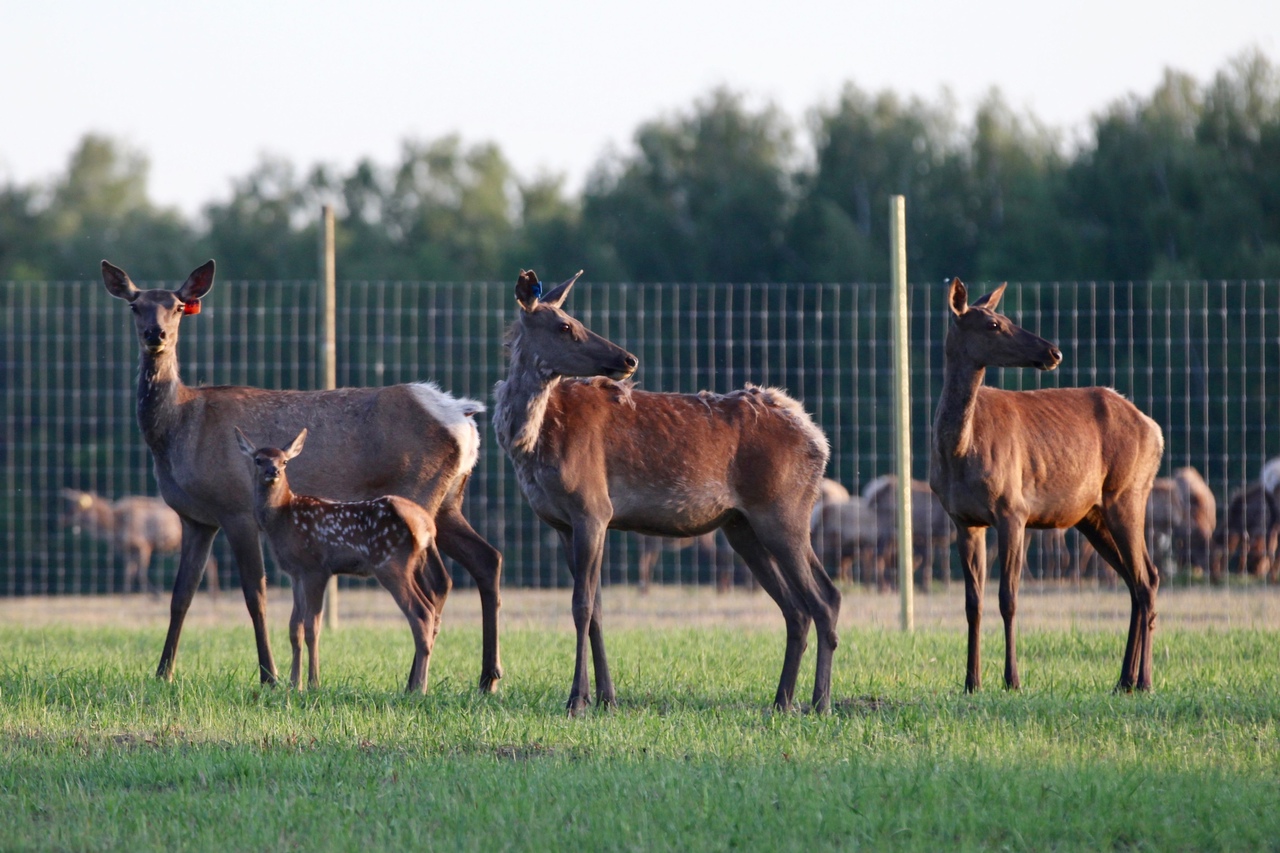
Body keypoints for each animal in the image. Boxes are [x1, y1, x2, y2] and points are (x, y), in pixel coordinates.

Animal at [61, 489, 220, 594]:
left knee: (211, 562)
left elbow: (140, 572)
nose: (62, 519)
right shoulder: (128, 550)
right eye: (69, 505)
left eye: (76, 507)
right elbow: (128, 573)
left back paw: (213, 595)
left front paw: (156, 595)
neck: (115, 527)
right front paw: (126, 595)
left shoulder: (144, 545)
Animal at [238, 425, 453, 691]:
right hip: (413, 563)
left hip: (391, 563)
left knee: (421, 613)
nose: (273, 471)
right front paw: (294, 684)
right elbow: (294, 628)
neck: (283, 519)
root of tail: (426, 525)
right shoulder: (295, 573)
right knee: (431, 608)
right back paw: (416, 686)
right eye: (259, 459)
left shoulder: (316, 568)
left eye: (284, 461)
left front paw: (313, 683)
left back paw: (419, 689)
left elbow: (312, 627)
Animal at [491, 270, 839, 712]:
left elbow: (581, 605)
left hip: (783, 511)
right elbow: (598, 608)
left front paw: (577, 700)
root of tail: (819, 441)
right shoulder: (563, 522)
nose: (628, 359)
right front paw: (607, 698)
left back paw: (820, 702)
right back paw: (782, 700)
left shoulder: (593, 508)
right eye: (564, 326)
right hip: (742, 526)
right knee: (796, 609)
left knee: (825, 598)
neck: (530, 445)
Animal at [926, 279, 1167, 691]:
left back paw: (1144, 681)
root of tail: (1155, 429)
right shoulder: (964, 519)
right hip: (1091, 515)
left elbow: (1008, 598)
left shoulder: (1013, 509)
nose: (1053, 351)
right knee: (1135, 581)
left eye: (1006, 318)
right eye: (993, 324)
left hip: (1128, 492)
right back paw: (1124, 680)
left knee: (1147, 578)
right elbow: (973, 602)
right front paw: (971, 681)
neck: (959, 452)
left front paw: (1012, 680)